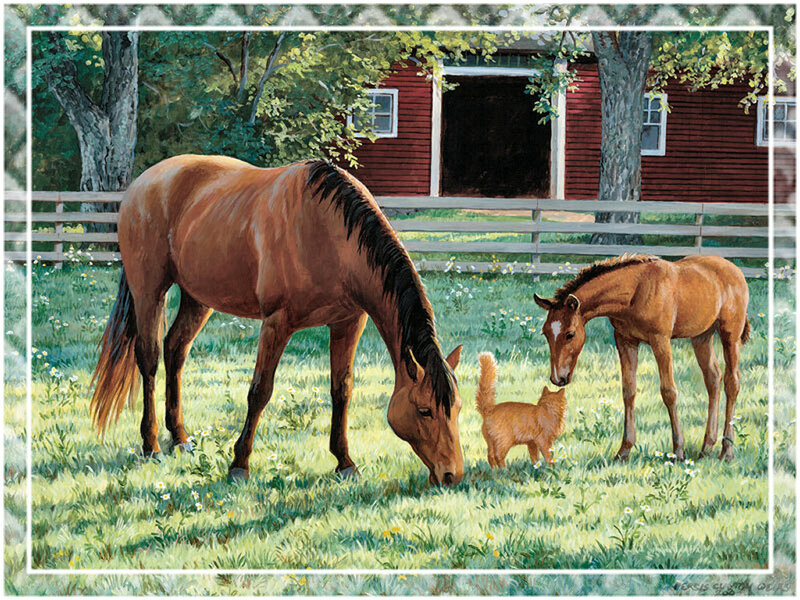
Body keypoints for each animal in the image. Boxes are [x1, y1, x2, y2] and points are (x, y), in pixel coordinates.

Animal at [90, 154, 464, 486]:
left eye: (457, 408)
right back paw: (151, 444)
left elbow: (341, 390)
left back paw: (180, 437)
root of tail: (142, 183)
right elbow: (260, 391)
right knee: (149, 358)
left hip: (198, 298)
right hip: (149, 290)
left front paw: (344, 462)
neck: (328, 232)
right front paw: (239, 465)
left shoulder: (348, 323)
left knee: (175, 350)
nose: (452, 475)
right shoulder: (276, 324)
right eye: (425, 410)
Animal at [533, 254, 750, 462]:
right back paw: (706, 448)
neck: (635, 291)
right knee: (713, 378)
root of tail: (736, 271)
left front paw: (678, 451)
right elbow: (628, 391)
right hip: (701, 337)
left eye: (570, 334)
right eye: (545, 333)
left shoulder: (660, 341)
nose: (558, 378)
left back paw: (727, 451)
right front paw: (624, 451)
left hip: (730, 336)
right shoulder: (625, 341)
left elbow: (669, 392)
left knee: (732, 383)